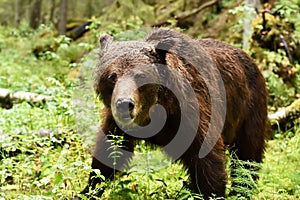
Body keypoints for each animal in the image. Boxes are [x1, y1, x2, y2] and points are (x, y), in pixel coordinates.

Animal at [78, 28, 268, 198]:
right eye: (112, 76)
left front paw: (212, 193)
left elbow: (206, 158)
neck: (157, 112)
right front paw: (87, 190)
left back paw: (242, 189)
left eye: (140, 75)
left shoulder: (193, 113)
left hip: (249, 108)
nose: (124, 104)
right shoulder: (117, 124)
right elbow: (109, 152)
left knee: (248, 153)